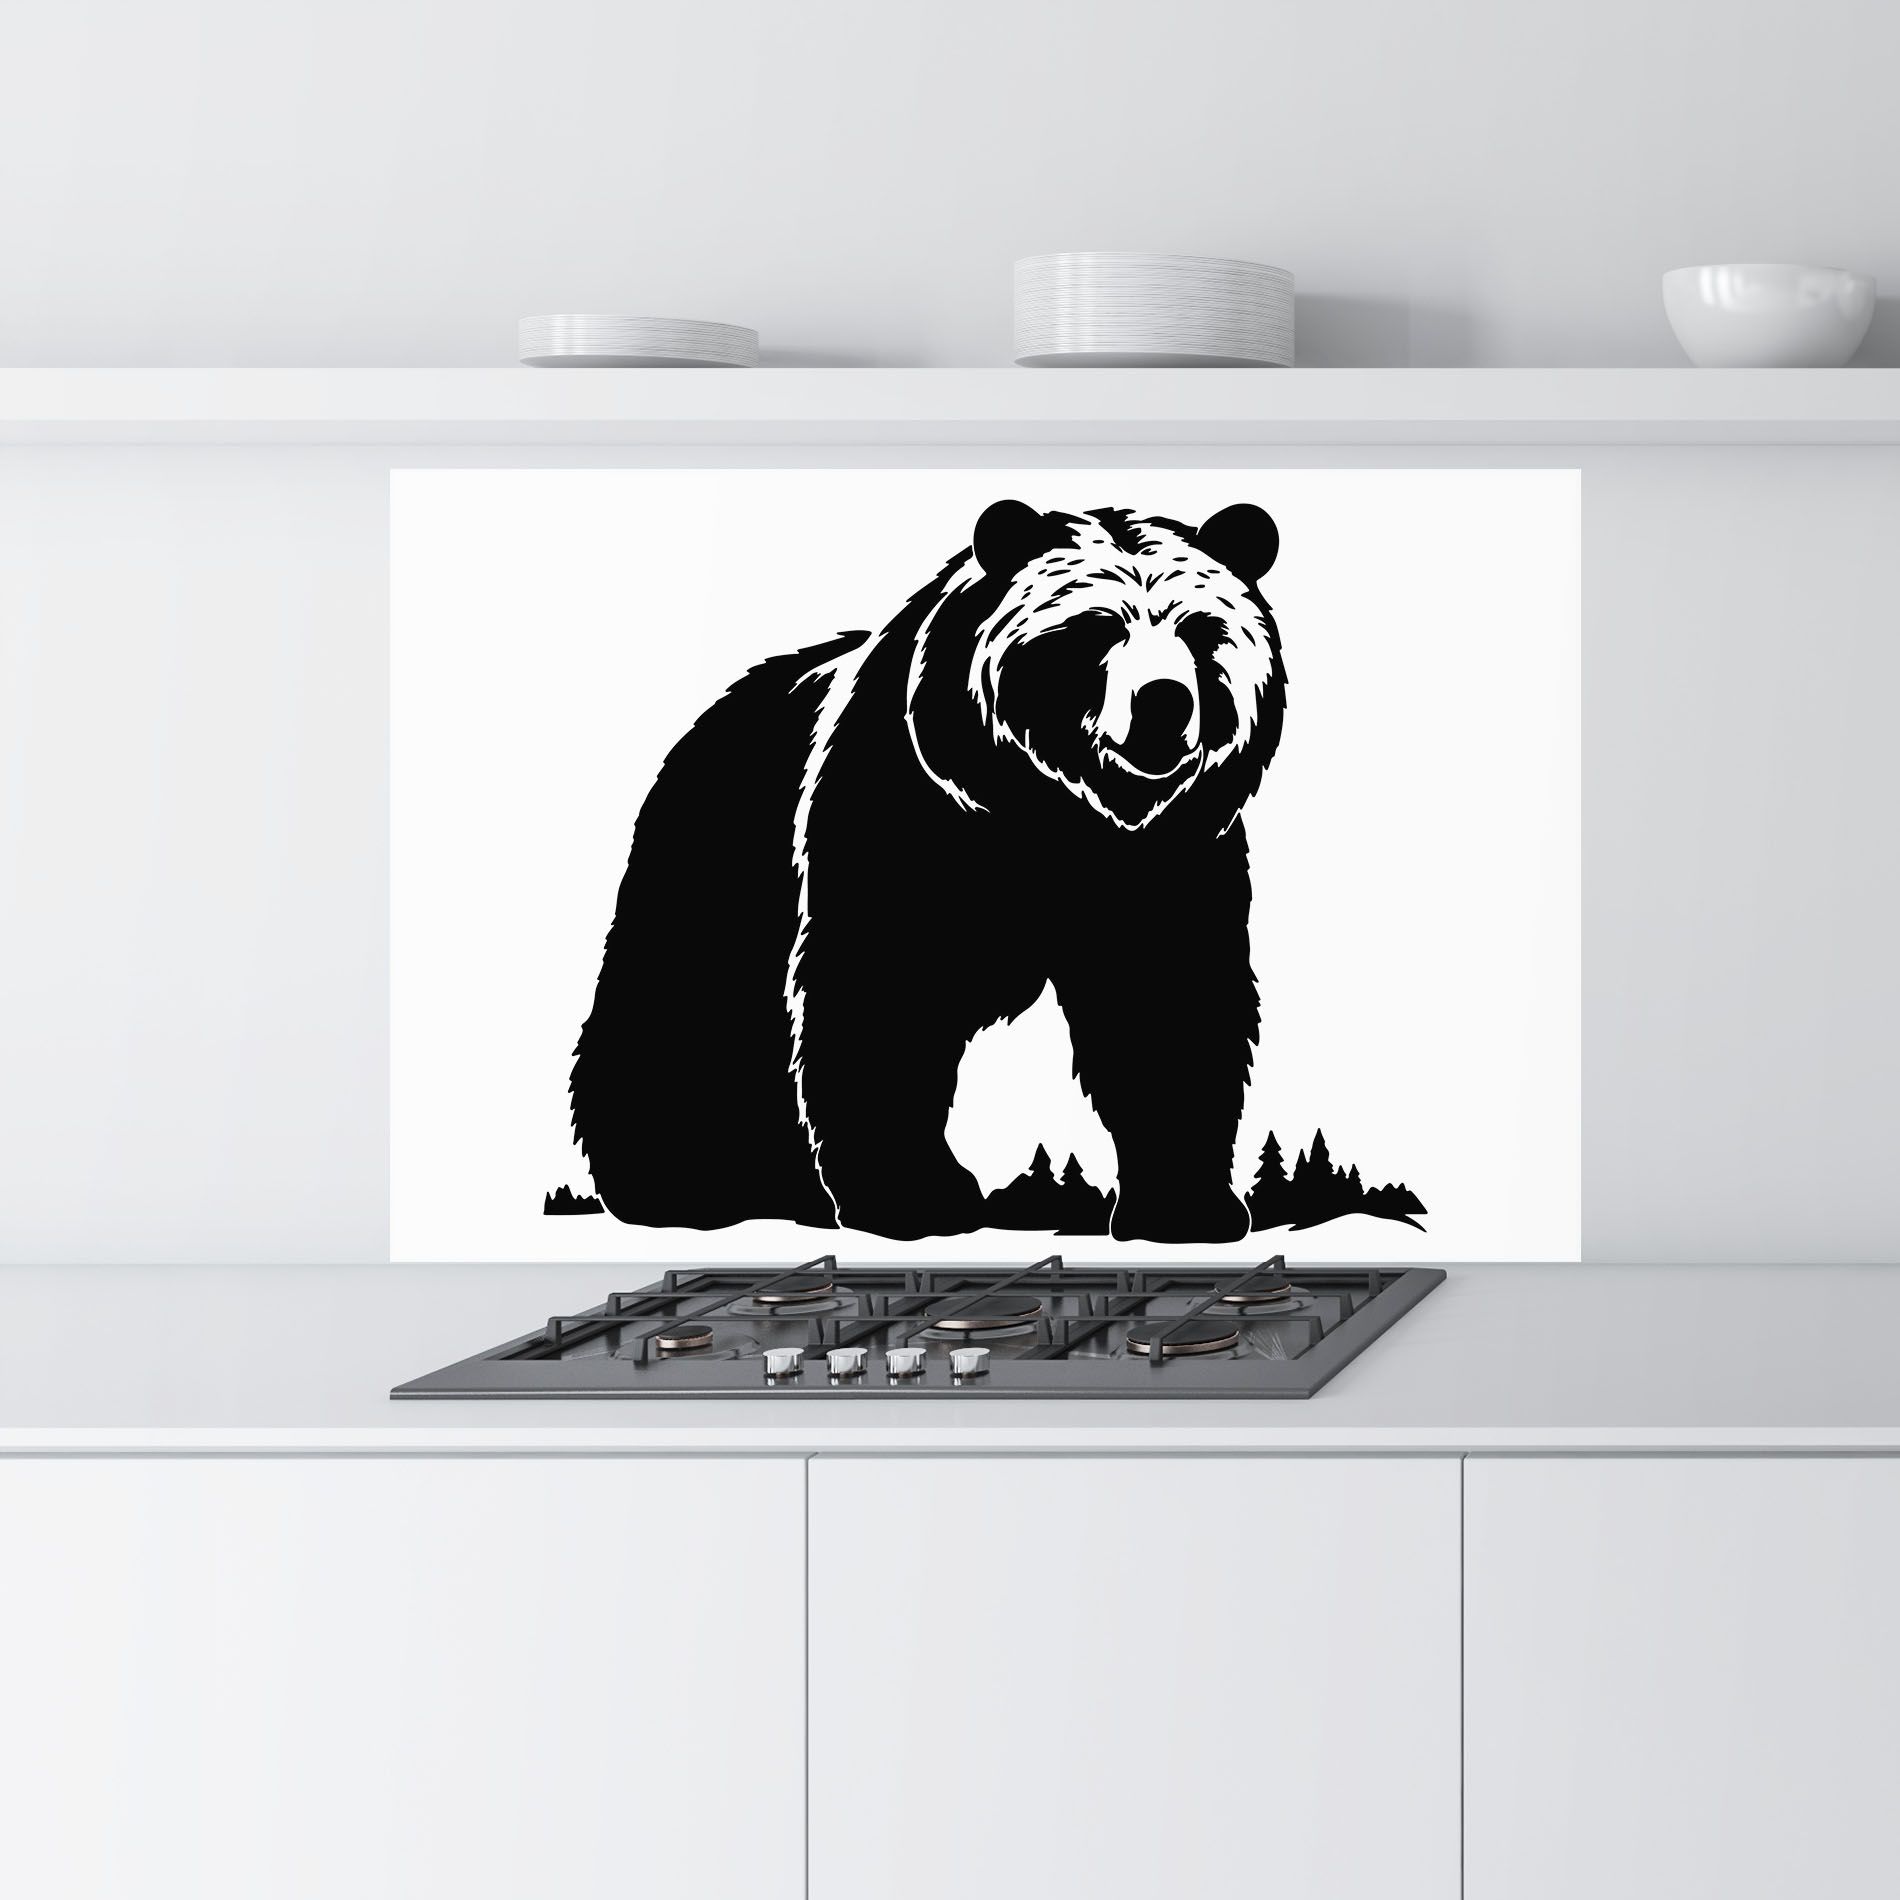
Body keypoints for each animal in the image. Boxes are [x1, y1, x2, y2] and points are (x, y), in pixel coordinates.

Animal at [568, 498, 1287, 1243]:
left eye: (1200, 631)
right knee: (679, 1007)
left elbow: (1170, 1003)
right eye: (1095, 628)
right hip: (713, 860)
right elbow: (882, 993)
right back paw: (681, 1181)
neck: (1056, 818)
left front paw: (1188, 1206)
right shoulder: (908, 821)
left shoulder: (1165, 860)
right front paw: (915, 1196)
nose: (1164, 701)